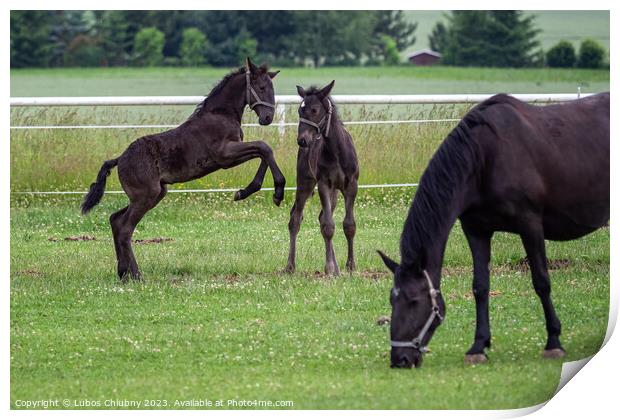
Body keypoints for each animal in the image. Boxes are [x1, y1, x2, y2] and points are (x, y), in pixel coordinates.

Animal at [80, 55, 286, 278]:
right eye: (262, 87)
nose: (267, 118)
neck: (220, 114)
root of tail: (120, 159)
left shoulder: (231, 155)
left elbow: (262, 152)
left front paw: (245, 191)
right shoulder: (224, 156)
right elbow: (264, 147)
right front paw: (278, 191)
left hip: (154, 194)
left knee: (115, 220)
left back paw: (123, 273)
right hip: (146, 196)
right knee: (125, 228)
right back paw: (136, 275)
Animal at [284, 81, 358, 276]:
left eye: (315, 110)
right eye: (299, 110)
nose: (302, 140)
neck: (337, 151)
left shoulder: (351, 186)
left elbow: (349, 225)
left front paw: (350, 265)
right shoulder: (324, 184)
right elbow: (328, 226)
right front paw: (329, 268)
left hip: (335, 193)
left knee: (322, 216)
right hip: (305, 183)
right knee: (296, 219)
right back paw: (290, 266)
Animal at [378, 92, 612, 368]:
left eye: (413, 301)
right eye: (392, 299)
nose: (400, 359)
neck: (485, 157)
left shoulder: (530, 224)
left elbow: (541, 281)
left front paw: (553, 342)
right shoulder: (476, 230)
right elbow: (480, 287)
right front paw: (478, 346)